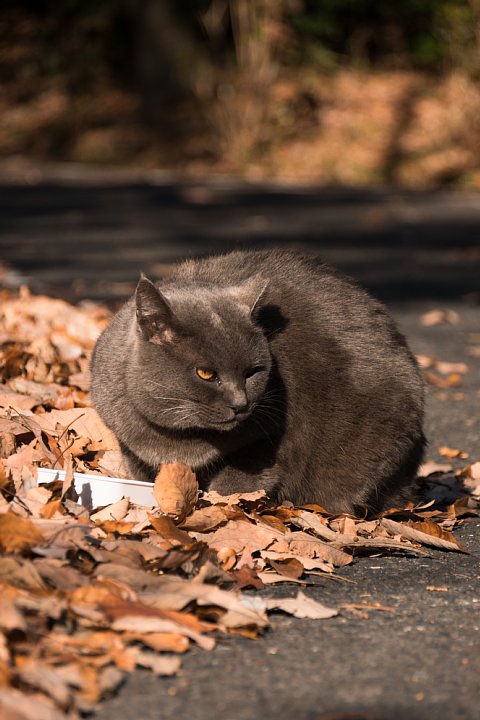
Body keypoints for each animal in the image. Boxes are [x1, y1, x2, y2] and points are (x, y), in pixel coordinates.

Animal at [92, 250, 426, 516]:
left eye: (252, 372)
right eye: (206, 374)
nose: (240, 403)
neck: (174, 437)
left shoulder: (269, 441)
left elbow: (232, 485)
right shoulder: (129, 445)